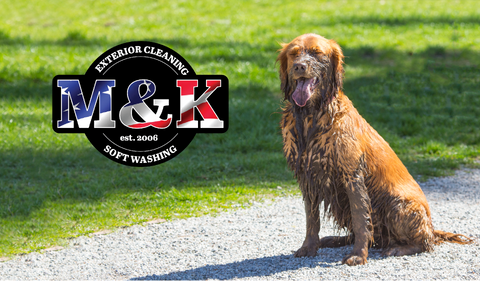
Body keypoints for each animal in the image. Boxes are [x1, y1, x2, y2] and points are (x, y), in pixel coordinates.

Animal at [278, 33, 472, 264]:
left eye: (317, 53)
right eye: (293, 53)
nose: (299, 66)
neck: (310, 117)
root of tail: (432, 228)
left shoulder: (352, 175)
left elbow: (361, 221)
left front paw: (358, 256)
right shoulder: (307, 177)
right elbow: (311, 220)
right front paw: (309, 247)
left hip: (397, 204)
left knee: (425, 243)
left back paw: (396, 248)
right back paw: (333, 240)